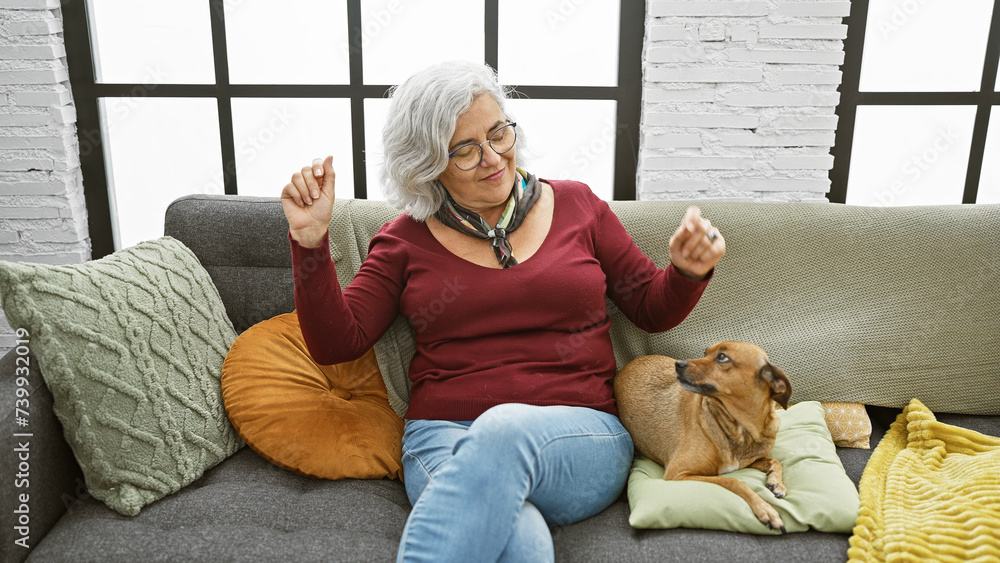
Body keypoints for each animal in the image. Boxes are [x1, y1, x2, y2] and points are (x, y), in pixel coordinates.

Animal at [612, 342, 792, 532]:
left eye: (722, 357)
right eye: (705, 353)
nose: (678, 364)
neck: (739, 429)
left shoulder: (747, 461)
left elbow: (774, 461)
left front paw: (777, 483)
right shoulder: (678, 474)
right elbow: (734, 481)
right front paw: (765, 508)